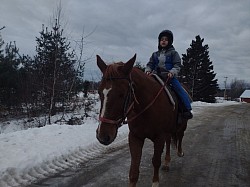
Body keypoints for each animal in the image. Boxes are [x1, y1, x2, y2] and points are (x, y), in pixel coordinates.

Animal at [95, 54, 188, 187]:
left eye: (122, 94)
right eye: (99, 92)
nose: (103, 136)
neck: (146, 109)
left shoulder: (159, 137)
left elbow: (156, 161)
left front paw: (155, 182)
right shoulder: (135, 137)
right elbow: (134, 170)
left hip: (181, 126)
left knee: (180, 136)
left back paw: (180, 152)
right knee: (169, 141)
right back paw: (167, 162)